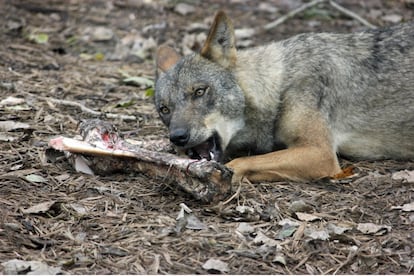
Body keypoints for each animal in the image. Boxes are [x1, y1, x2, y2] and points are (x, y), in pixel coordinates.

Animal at [153, 11, 414, 183]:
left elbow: (240, 163)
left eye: (199, 91)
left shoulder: (320, 153)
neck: (279, 87)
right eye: (164, 109)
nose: (177, 137)